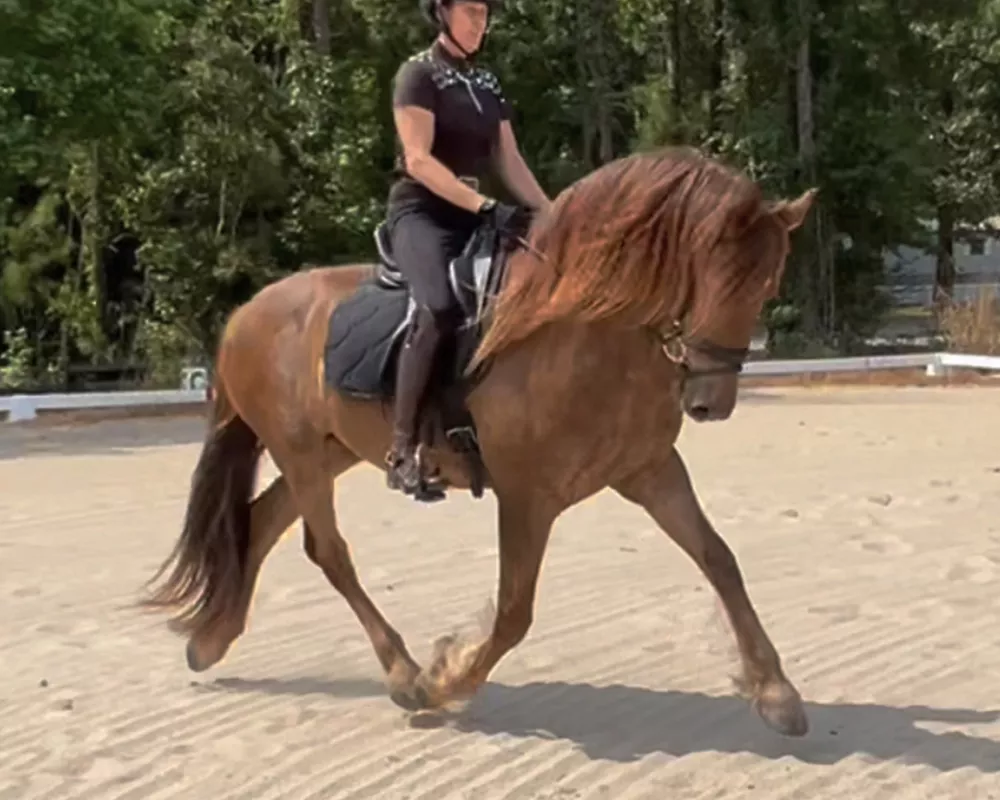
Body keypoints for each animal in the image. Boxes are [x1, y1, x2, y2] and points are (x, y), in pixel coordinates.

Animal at [141, 145, 812, 736]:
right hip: (301, 450)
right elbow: (514, 612)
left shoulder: (649, 470)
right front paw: (444, 682)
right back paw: (403, 675)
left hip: (332, 450)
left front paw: (777, 694)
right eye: (712, 274)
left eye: (767, 284)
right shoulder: (526, 495)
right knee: (327, 551)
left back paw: (211, 639)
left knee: (261, 520)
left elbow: (719, 559)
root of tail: (244, 314)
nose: (711, 402)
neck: (584, 332)